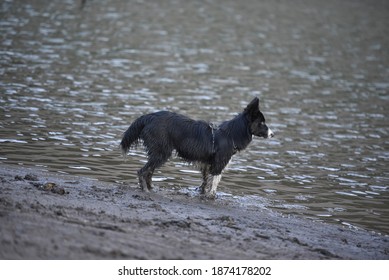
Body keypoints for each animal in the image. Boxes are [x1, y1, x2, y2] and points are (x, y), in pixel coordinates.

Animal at [119, 97, 274, 198]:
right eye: (261, 123)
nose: (273, 134)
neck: (231, 134)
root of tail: (148, 117)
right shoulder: (218, 165)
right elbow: (214, 184)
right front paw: (211, 197)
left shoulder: (206, 164)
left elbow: (205, 182)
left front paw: (202, 192)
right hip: (162, 152)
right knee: (142, 171)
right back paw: (145, 190)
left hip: (159, 153)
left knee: (149, 172)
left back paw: (151, 188)